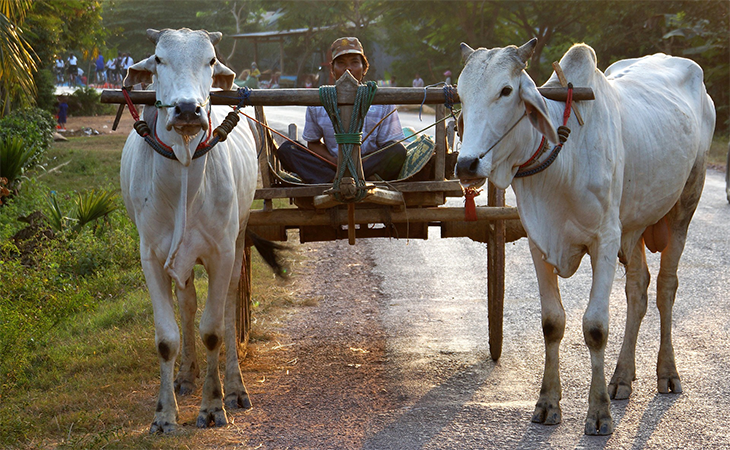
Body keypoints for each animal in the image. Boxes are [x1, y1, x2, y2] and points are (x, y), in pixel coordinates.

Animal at [121, 27, 282, 432]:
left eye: (210, 60)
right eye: (158, 59)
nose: (187, 109)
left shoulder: (221, 253)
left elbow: (214, 330)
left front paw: (213, 405)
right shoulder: (151, 257)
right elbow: (167, 337)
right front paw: (165, 414)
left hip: (238, 239)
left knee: (228, 309)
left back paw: (235, 388)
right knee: (188, 303)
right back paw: (186, 375)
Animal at [456, 39, 712, 436]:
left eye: (506, 90)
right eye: (460, 95)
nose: (467, 164)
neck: (562, 161)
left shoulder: (604, 241)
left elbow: (595, 327)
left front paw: (599, 413)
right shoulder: (538, 241)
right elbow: (552, 322)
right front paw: (547, 403)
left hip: (685, 205)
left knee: (666, 287)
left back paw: (667, 373)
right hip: (633, 226)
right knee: (638, 288)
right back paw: (621, 377)